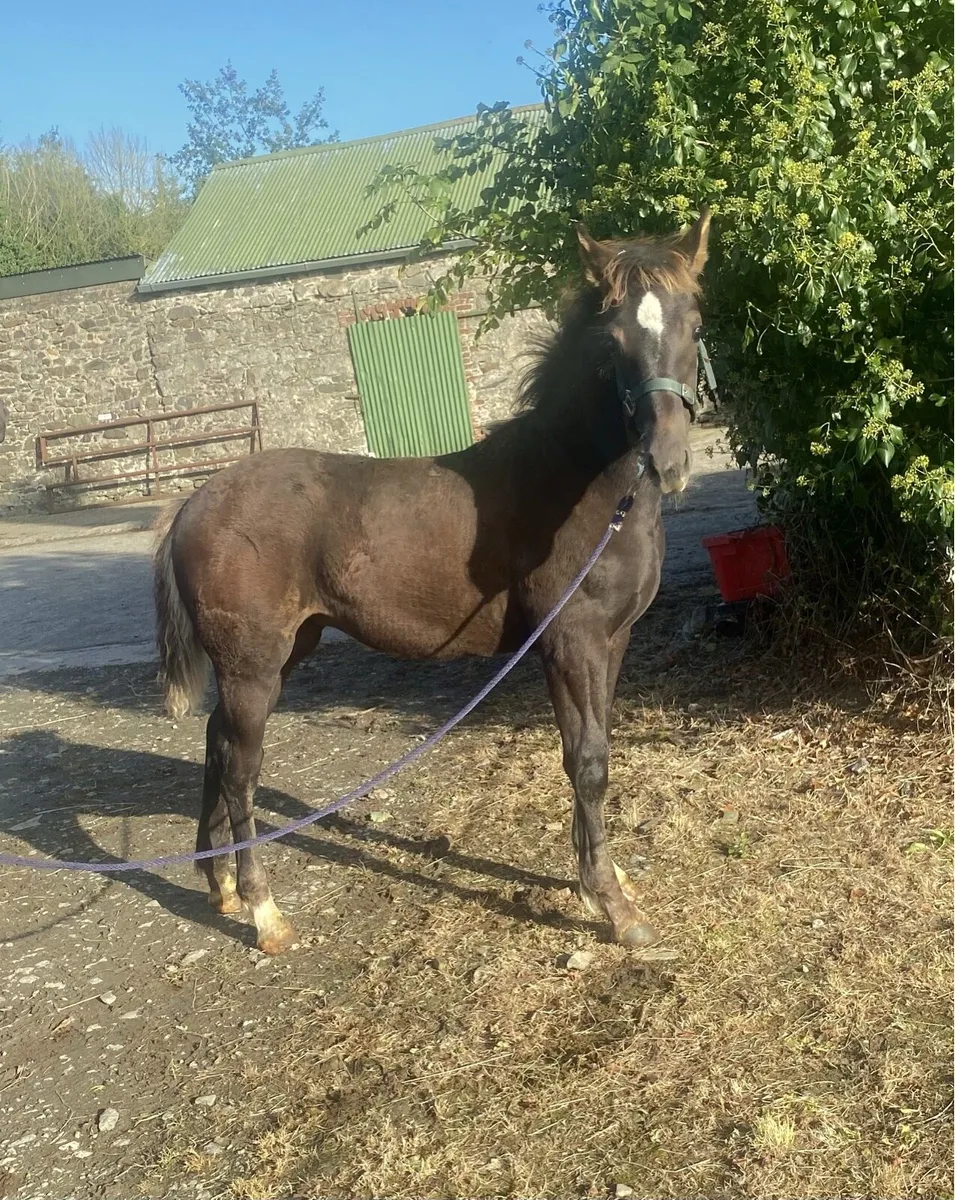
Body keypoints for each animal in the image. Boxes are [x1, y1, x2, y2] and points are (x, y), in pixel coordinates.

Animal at [153, 209, 712, 955]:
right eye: (612, 339)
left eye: (695, 326)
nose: (667, 461)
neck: (581, 490)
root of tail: (193, 503)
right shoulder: (574, 643)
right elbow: (588, 760)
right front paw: (614, 910)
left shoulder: (603, 644)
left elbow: (586, 754)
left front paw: (600, 881)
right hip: (251, 666)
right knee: (242, 768)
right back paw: (263, 912)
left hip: (283, 653)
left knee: (216, 745)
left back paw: (219, 886)